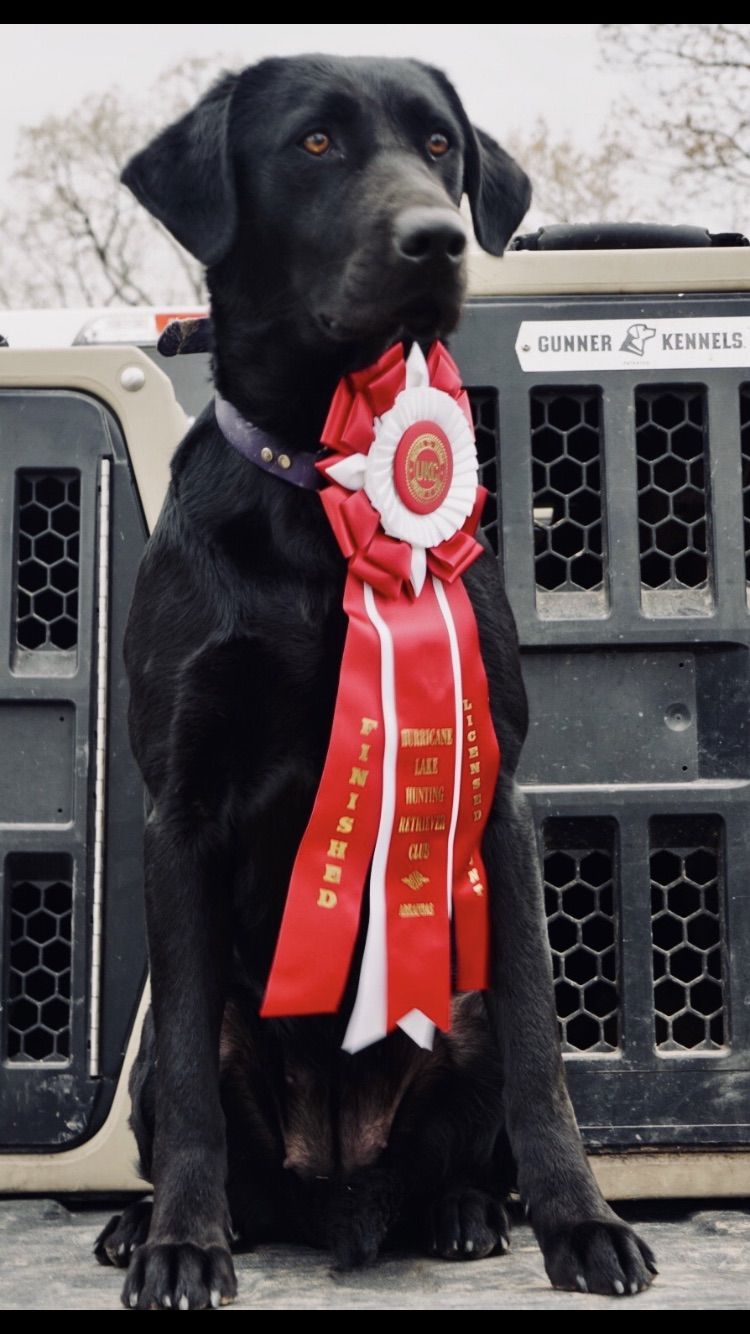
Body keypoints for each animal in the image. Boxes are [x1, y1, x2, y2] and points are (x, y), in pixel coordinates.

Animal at [93, 54, 653, 1312]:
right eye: (313, 144)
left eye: (440, 145)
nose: (436, 239)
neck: (324, 486)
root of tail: (336, 1181)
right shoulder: (178, 806)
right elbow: (192, 1080)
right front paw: (181, 1243)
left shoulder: (498, 798)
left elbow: (547, 1059)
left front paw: (583, 1223)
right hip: (179, 1038)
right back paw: (148, 1221)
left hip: (458, 1000)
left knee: (460, 1145)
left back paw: (465, 1214)